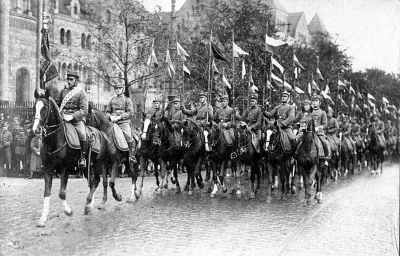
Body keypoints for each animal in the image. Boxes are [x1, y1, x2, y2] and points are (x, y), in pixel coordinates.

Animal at [32, 91, 108, 227]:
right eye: (34, 107)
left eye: (44, 108)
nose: (36, 129)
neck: (55, 139)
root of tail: (100, 133)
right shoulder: (47, 169)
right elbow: (47, 192)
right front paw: (43, 218)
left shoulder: (65, 168)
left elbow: (62, 193)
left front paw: (68, 211)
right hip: (86, 167)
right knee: (92, 181)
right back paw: (90, 205)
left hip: (97, 163)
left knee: (96, 180)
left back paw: (88, 206)